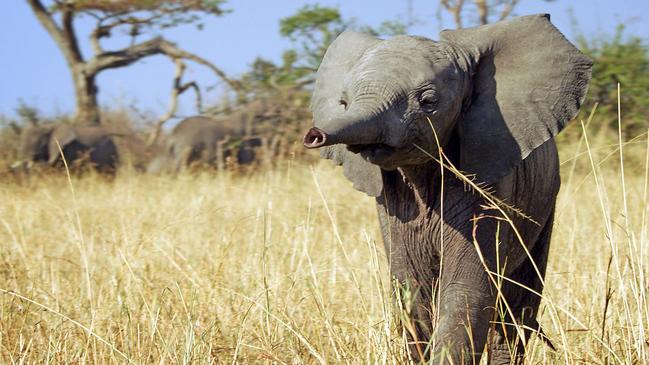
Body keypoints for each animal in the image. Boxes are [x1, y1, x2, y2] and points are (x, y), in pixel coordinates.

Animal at [302, 13, 588, 362]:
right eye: (343, 103)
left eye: (428, 102)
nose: (313, 135)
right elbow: (412, 290)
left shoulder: (489, 183)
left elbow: (466, 289)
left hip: (546, 202)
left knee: (515, 309)